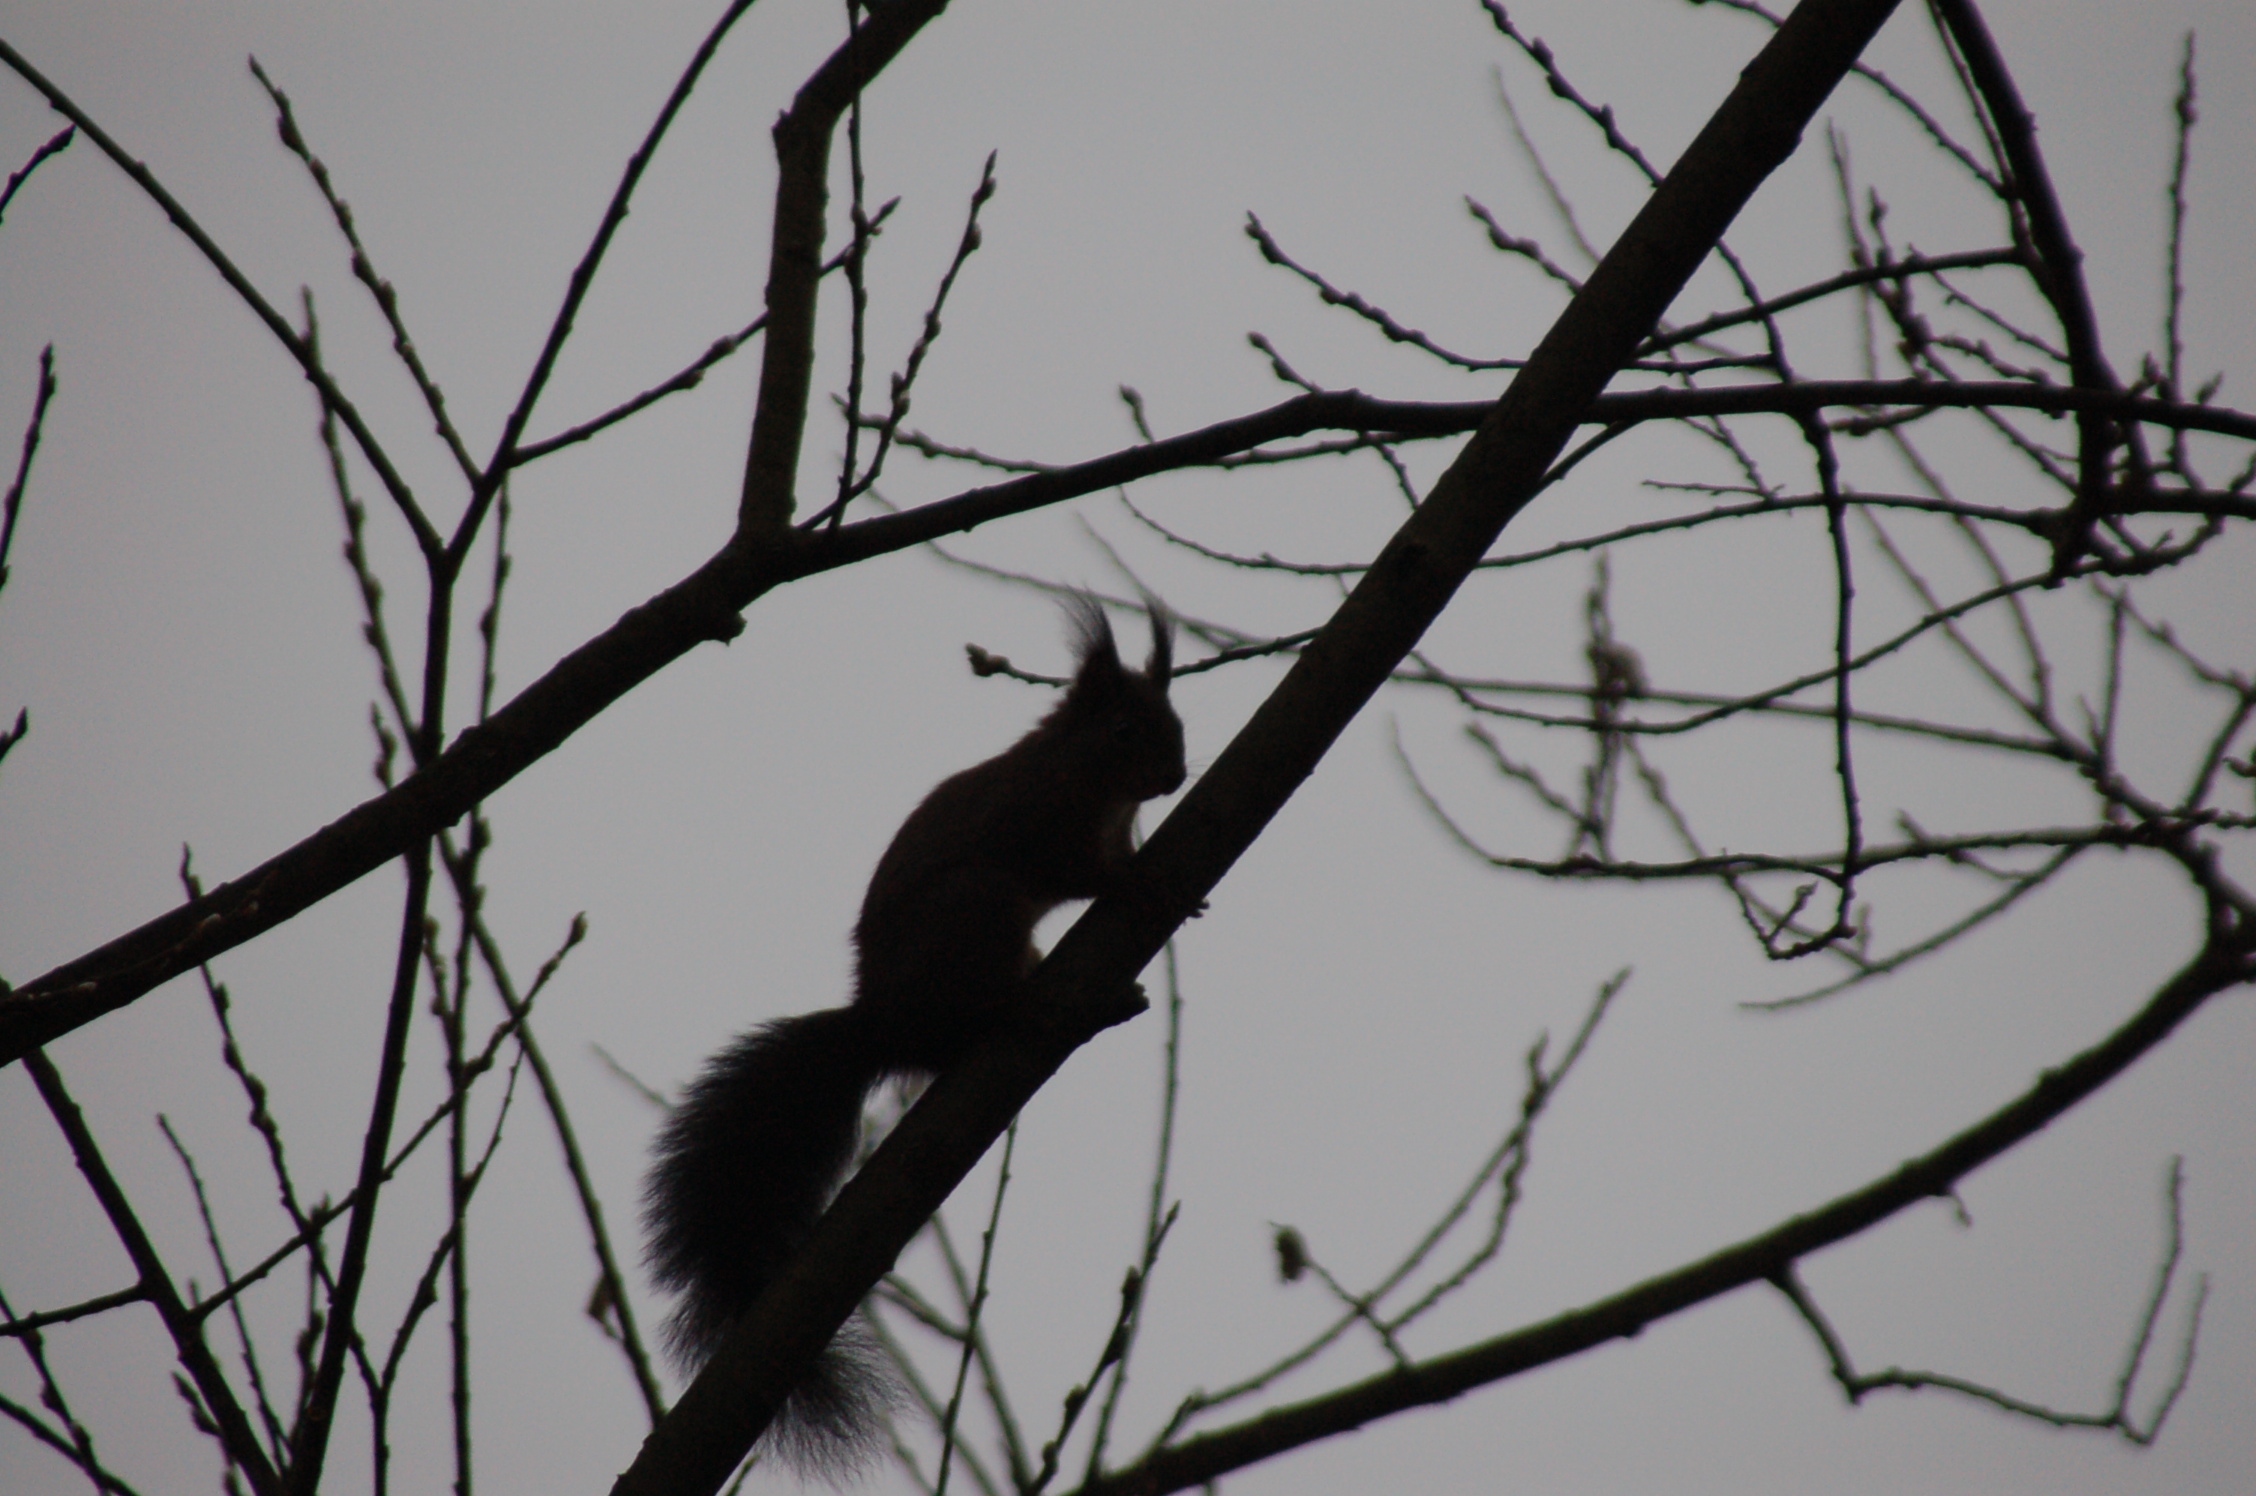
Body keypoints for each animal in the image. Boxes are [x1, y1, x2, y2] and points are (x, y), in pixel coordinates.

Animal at [642, 595, 1186, 1479]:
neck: (1093, 786)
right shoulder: (1038, 824)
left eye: (1176, 720)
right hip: (978, 908)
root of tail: (883, 1021)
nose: (1175, 779)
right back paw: (1021, 1012)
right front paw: (1134, 882)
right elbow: (1075, 869)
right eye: (1124, 730)